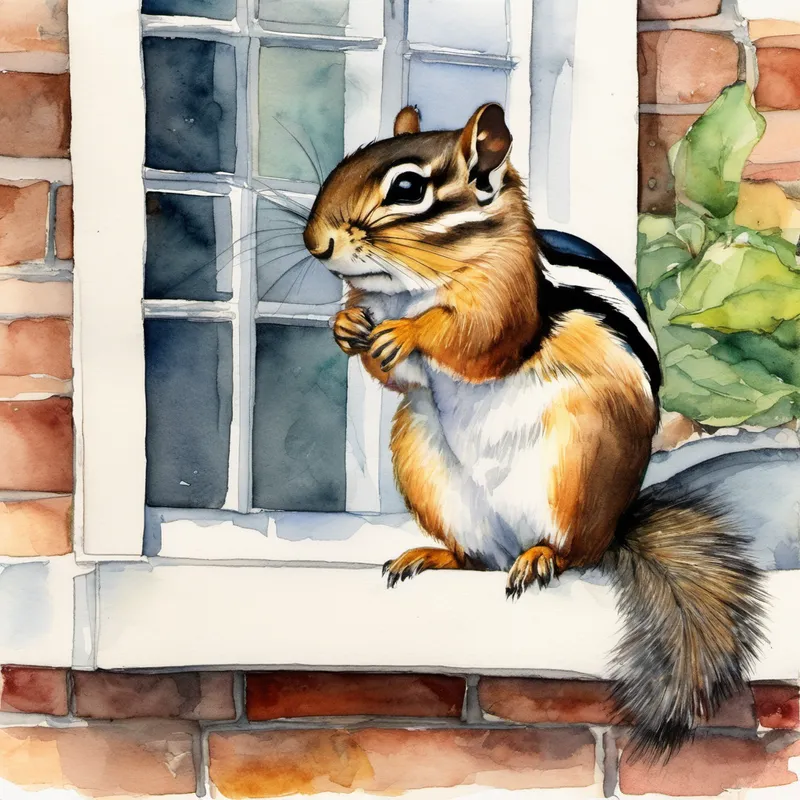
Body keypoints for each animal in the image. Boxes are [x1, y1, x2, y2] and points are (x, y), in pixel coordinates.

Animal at [302, 102, 766, 759]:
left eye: (409, 188)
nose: (317, 243)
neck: (409, 289)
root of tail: (613, 530)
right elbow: (395, 371)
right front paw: (347, 326)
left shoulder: (506, 299)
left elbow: (476, 338)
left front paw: (412, 332)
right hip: (426, 461)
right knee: (476, 558)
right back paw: (432, 556)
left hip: (577, 463)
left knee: (570, 552)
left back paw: (543, 556)